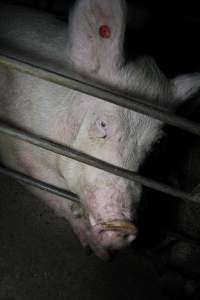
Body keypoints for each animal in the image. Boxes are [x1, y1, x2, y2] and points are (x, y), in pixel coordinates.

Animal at [0, 0, 200, 260]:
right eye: (103, 124)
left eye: (156, 143)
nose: (122, 226)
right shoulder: (19, 146)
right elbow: (52, 189)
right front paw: (99, 252)